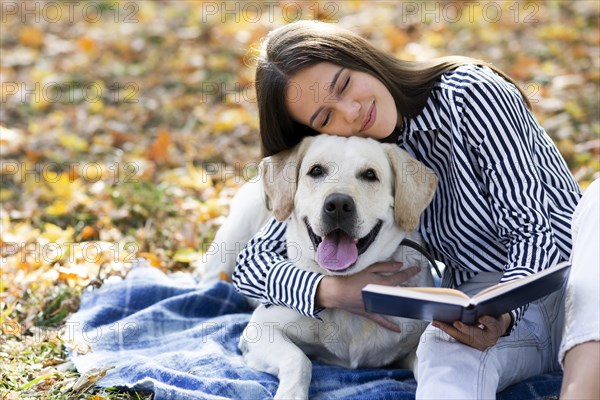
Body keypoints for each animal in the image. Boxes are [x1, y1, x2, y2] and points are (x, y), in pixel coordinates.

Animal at [199, 135, 438, 400]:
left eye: (369, 175)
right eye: (316, 171)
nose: (339, 204)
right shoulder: (260, 329)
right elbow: (299, 360)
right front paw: (290, 395)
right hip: (235, 234)